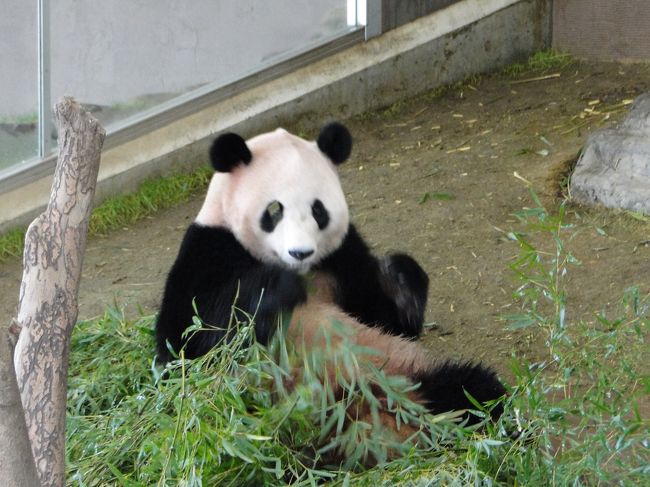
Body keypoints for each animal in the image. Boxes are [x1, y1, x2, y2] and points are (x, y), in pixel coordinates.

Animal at [154, 122, 504, 454]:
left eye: (318, 210)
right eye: (274, 210)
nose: (300, 252)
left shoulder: (343, 259)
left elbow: (386, 317)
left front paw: (400, 279)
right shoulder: (208, 251)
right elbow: (189, 345)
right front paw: (278, 287)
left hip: (408, 372)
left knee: (473, 393)